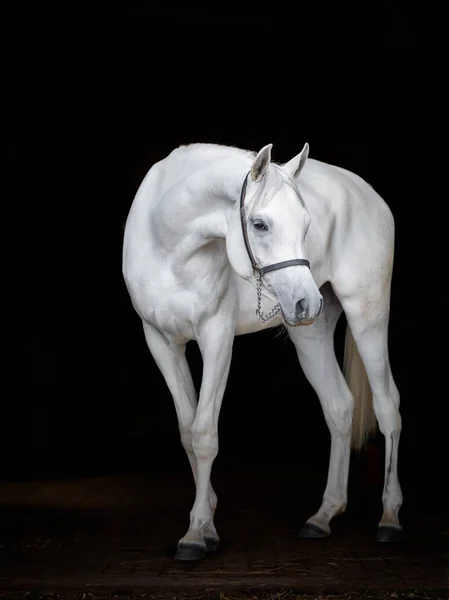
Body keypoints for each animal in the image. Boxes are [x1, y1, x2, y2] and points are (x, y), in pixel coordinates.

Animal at [122, 143, 402, 560]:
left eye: (306, 224)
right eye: (259, 224)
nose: (306, 302)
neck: (168, 245)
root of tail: (368, 193)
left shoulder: (216, 337)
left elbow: (205, 433)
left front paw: (195, 535)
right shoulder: (160, 341)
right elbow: (188, 432)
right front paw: (207, 525)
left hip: (367, 315)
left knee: (388, 407)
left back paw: (389, 519)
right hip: (311, 333)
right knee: (339, 407)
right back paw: (323, 516)